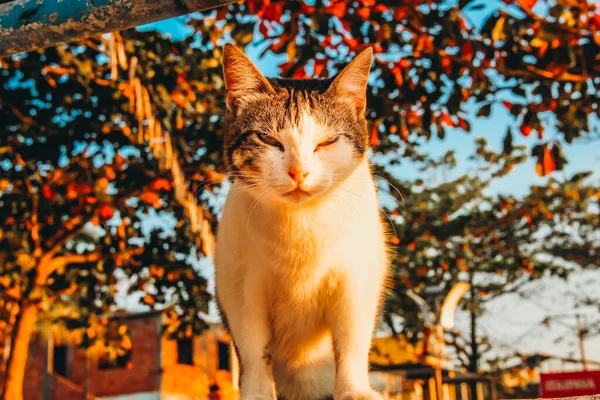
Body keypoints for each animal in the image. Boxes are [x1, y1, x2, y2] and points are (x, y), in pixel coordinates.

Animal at [214, 43, 390, 400]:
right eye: (268, 140)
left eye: (327, 142)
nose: (298, 172)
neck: (300, 224)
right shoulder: (238, 287)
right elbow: (253, 349)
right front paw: (256, 393)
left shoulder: (358, 280)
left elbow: (351, 342)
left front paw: (354, 390)